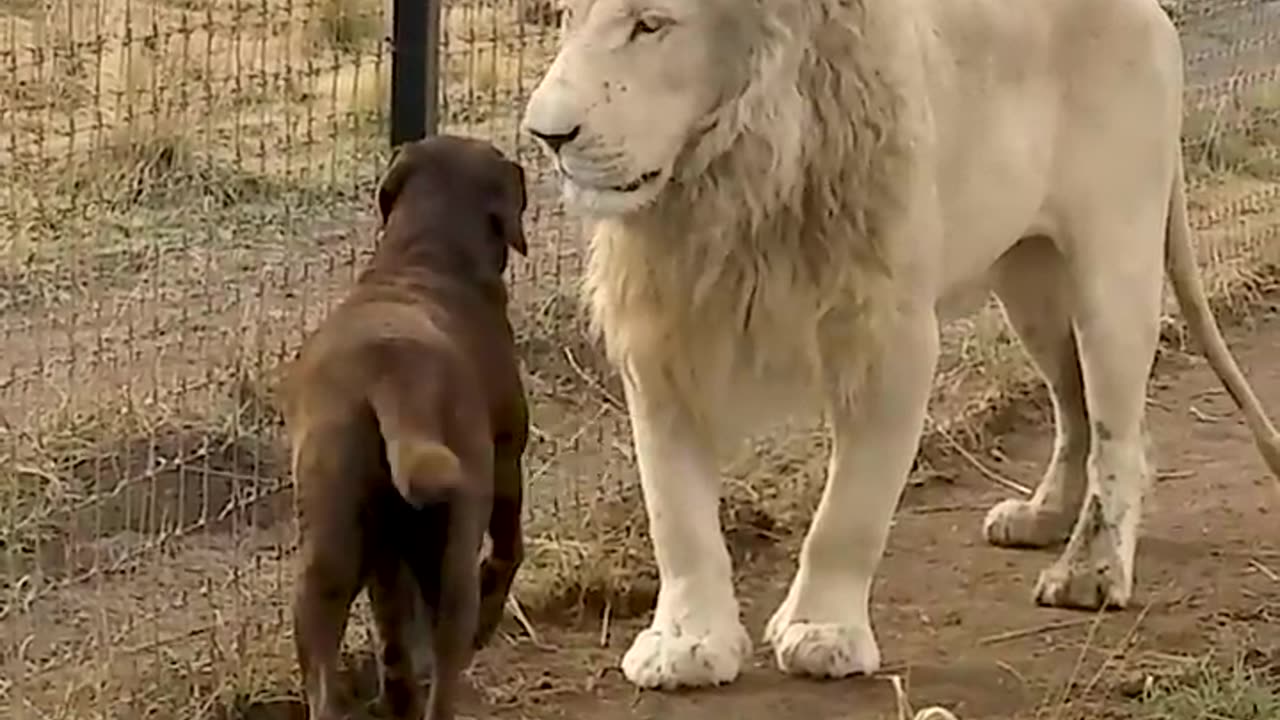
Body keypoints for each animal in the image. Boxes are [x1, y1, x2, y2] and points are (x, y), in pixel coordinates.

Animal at [280, 134, 529, 717]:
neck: (424, 254)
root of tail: (391, 375)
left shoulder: (385, 560)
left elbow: (391, 626)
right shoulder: (510, 458)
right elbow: (509, 550)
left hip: (328, 555)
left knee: (338, 673)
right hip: (452, 554)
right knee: (448, 659)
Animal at [517, 0, 1280, 691]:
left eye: (650, 25)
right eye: (566, 17)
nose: (545, 135)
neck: (729, 188)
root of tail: (1152, 11)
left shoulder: (892, 337)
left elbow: (849, 511)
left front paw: (821, 631)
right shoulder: (664, 338)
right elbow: (675, 512)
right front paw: (686, 644)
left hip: (1112, 266)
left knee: (1120, 434)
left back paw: (1090, 571)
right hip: (1028, 282)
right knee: (1076, 411)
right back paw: (1042, 517)